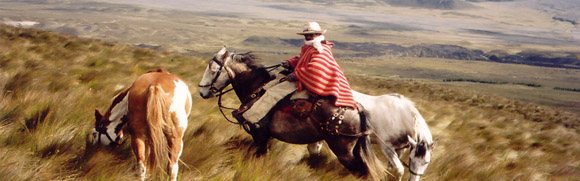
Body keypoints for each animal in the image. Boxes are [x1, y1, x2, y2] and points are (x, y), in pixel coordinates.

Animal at [198, 47, 386, 180]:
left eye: (213, 70)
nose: (202, 92)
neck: (256, 90)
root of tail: (358, 109)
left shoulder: (259, 134)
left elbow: (259, 158)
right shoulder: (266, 138)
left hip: (343, 150)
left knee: (361, 172)